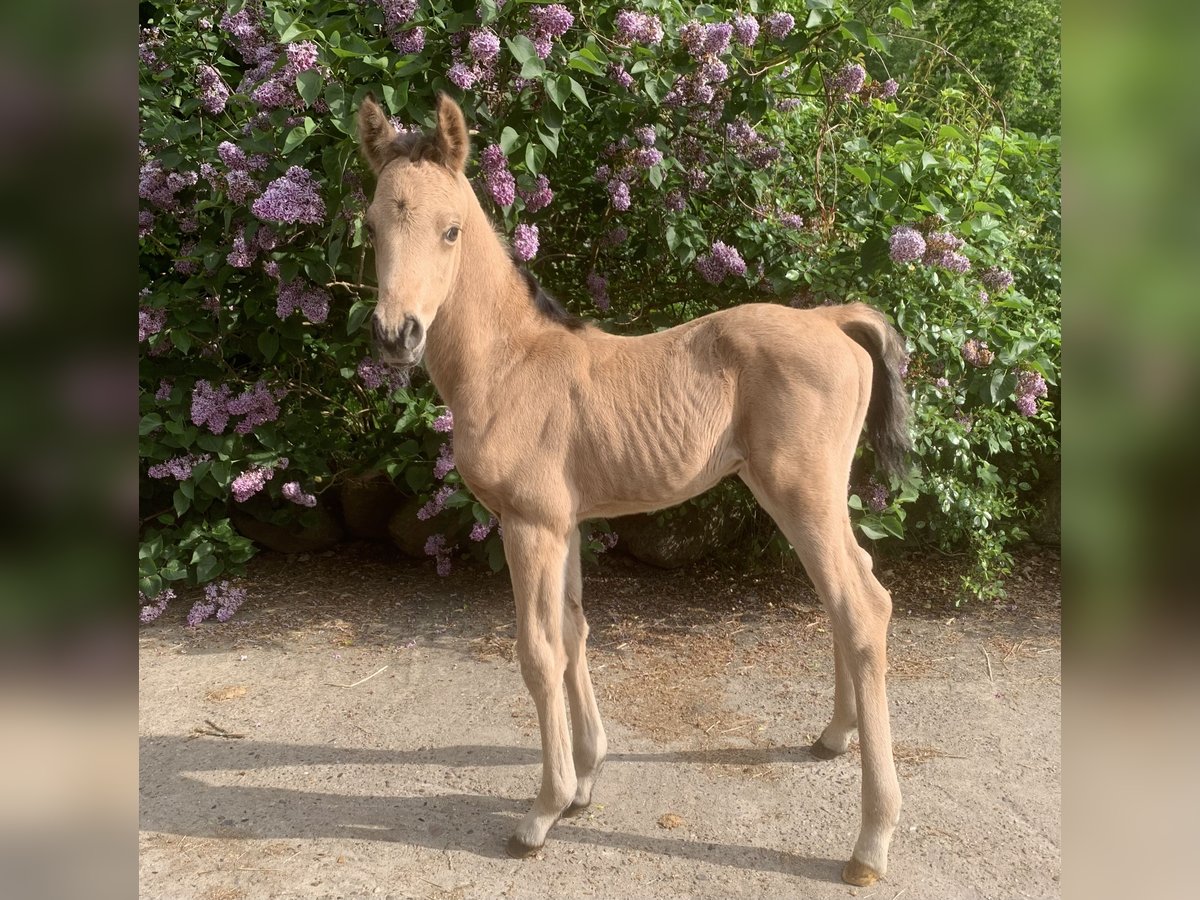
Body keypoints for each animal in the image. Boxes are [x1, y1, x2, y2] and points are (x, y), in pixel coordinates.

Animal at [355, 93, 907, 888]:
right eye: (371, 225)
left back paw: (870, 843)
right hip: (809, 500)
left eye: (450, 228)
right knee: (850, 596)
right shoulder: (566, 524)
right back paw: (834, 735)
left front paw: (541, 813)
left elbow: (537, 652)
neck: (511, 364)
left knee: (863, 608)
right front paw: (585, 781)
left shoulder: (529, 525)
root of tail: (832, 318)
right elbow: (575, 632)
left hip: (800, 493)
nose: (396, 335)